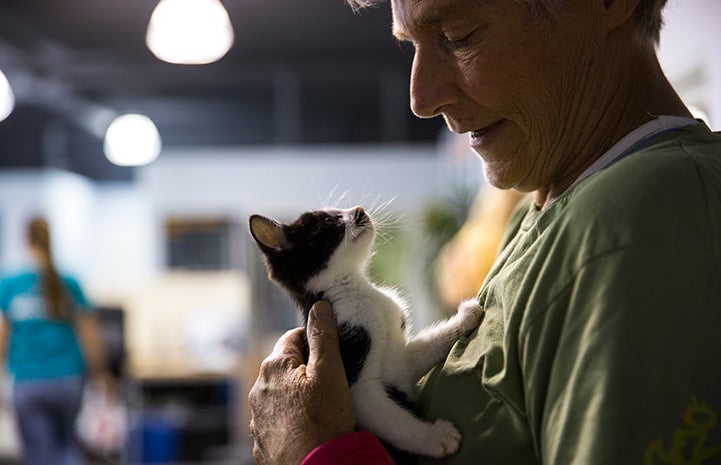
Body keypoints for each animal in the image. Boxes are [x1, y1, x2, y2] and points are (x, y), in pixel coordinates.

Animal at [249, 207, 484, 456]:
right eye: (329, 221)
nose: (358, 210)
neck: (359, 293)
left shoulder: (399, 365)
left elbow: (424, 349)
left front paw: (463, 319)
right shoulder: (356, 375)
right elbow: (395, 422)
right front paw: (436, 437)